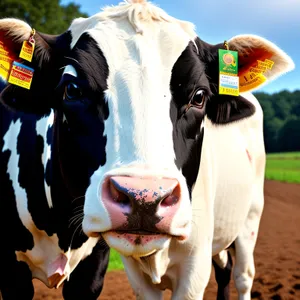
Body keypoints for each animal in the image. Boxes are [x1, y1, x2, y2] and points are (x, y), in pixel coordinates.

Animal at [0, 0, 296, 298]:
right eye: (72, 89)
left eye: (199, 96)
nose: (144, 198)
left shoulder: (190, 264)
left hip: (250, 217)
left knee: (243, 275)